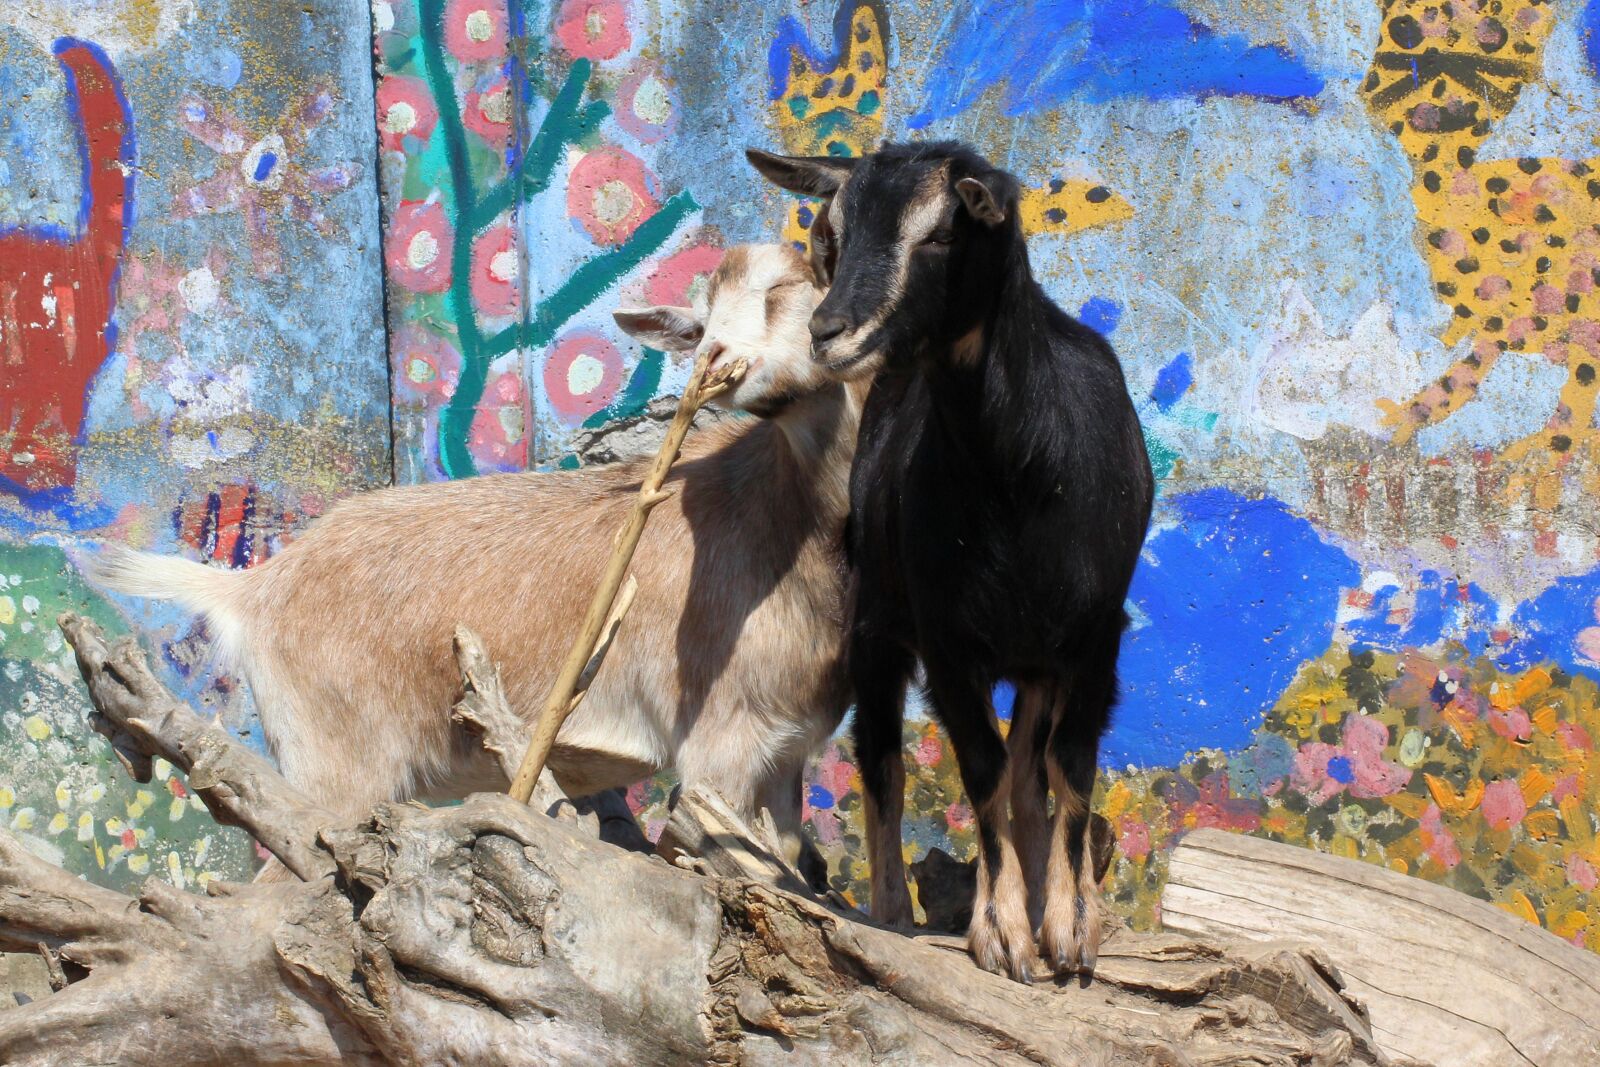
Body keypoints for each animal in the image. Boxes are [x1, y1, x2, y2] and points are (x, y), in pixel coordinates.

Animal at [95, 243, 861, 880]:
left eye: (785, 288)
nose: (719, 360)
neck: (776, 516)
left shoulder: (786, 755)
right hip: (334, 770)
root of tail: (257, 588)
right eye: (698, 324)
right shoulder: (719, 746)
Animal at [749, 142, 1154, 982]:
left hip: (1037, 658)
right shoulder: (948, 641)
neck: (1020, 478)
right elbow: (981, 768)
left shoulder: (1094, 636)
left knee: (1031, 775)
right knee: (881, 760)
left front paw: (1071, 930)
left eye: (940, 233)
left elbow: (1068, 772)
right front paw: (1000, 934)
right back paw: (892, 910)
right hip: (875, 620)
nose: (829, 331)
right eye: (832, 234)